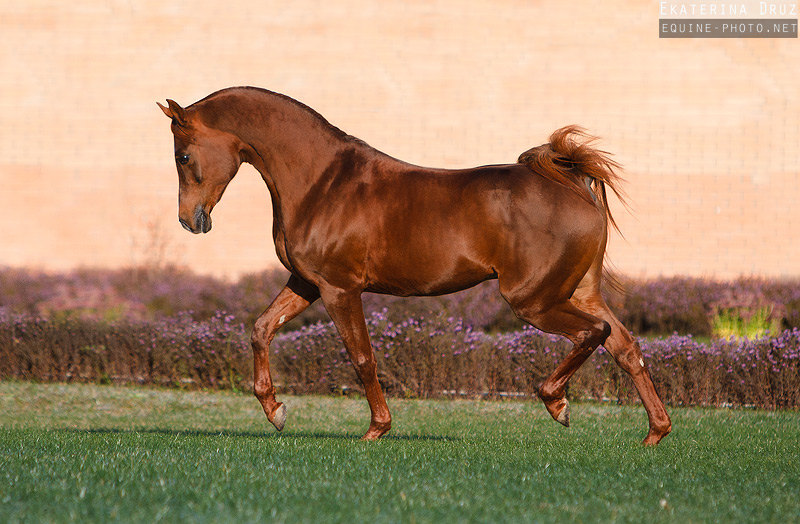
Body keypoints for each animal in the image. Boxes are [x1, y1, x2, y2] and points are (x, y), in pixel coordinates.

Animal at [156, 87, 668, 446]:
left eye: (183, 155)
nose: (189, 220)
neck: (322, 181)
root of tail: (573, 184)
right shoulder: (306, 282)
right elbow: (261, 329)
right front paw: (276, 411)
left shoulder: (339, 289)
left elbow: (362, 356)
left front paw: (376, 429)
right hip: (579, 291)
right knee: (625, 346)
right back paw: (655, 432)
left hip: (534, 300)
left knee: (594, 334)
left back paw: (557, 403)